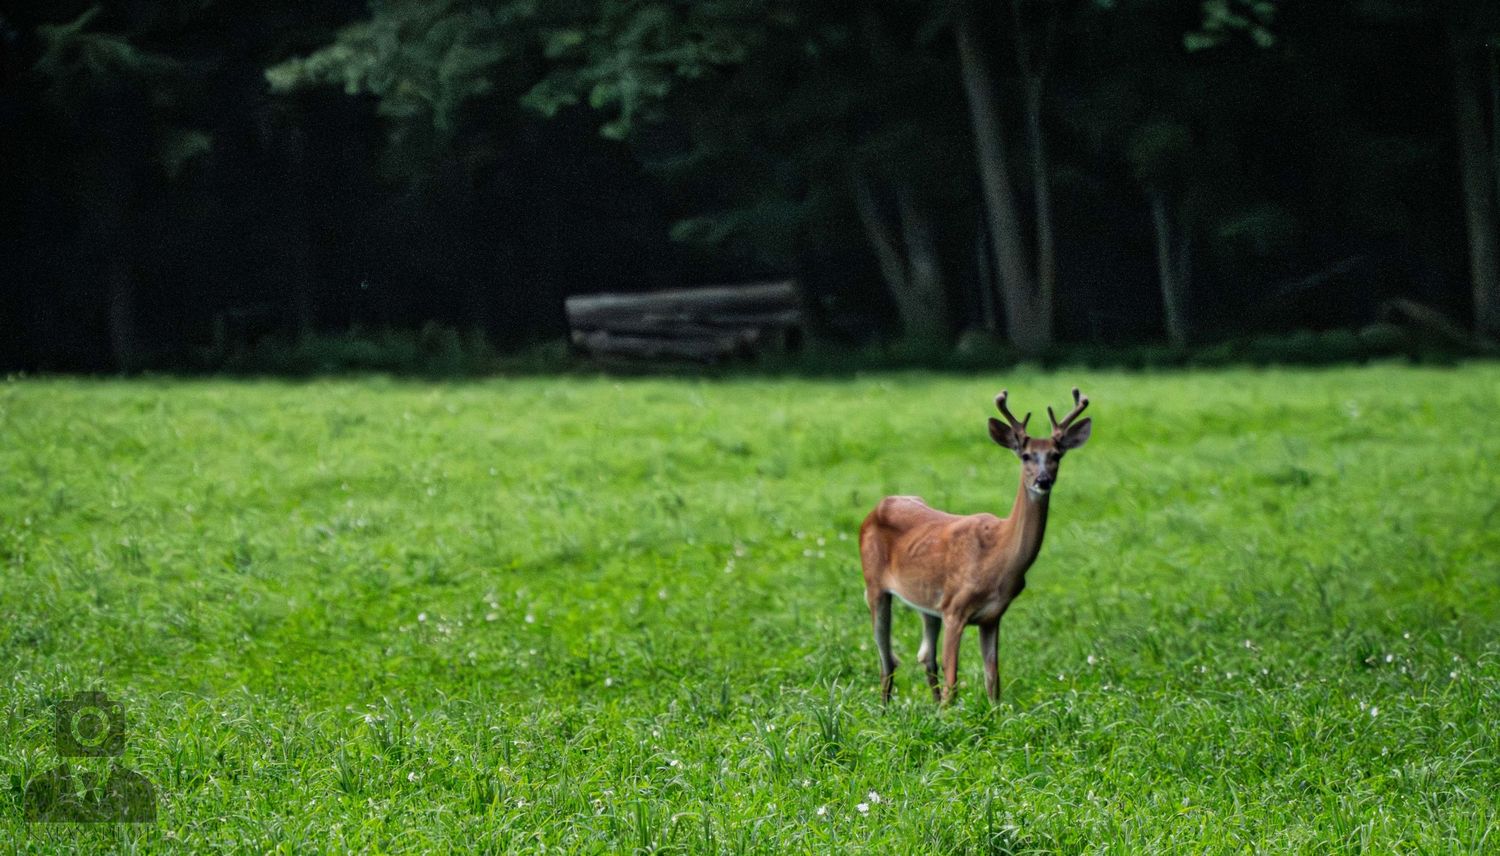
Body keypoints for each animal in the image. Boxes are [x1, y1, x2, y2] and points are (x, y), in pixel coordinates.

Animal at [858, 388, 1092, 705]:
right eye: (1026, 455)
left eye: (1056, 455)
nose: (1043, 480)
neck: (998, 558)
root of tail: (877, 508)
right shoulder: (954, 608)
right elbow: (953, 682)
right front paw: (950, 714)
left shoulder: (992, 616)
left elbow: (993, 681)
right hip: (874, 586)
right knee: (887, 661)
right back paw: (885, 710)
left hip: (926, 602)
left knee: (925, 657)